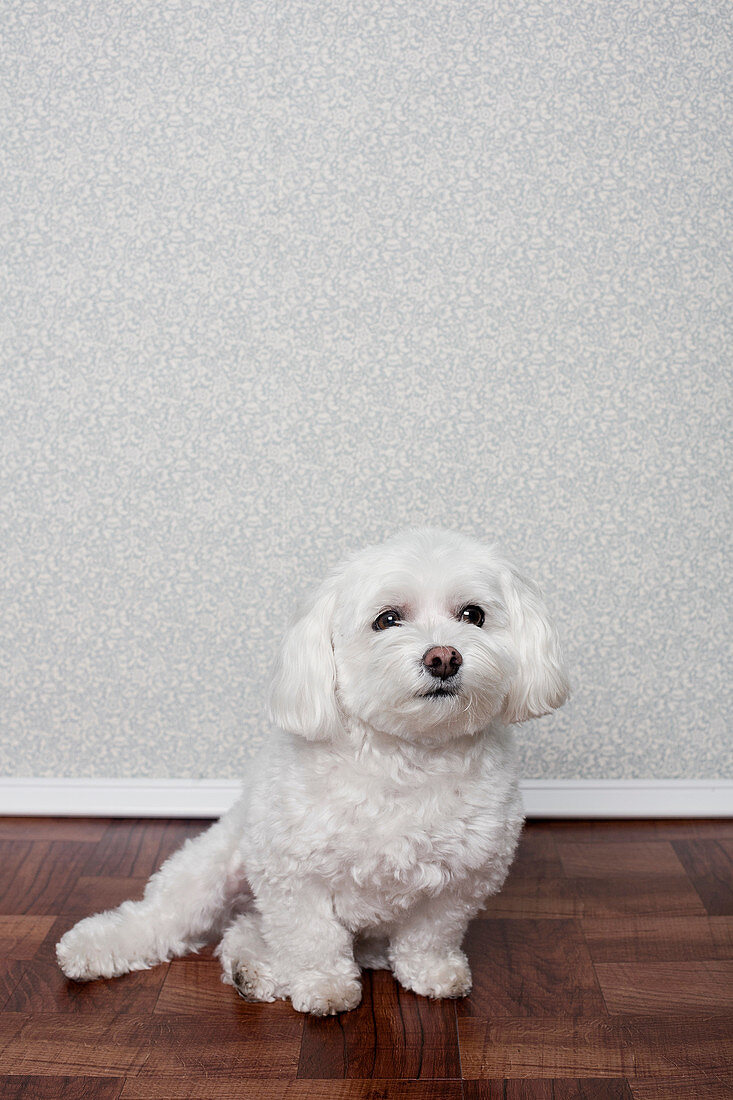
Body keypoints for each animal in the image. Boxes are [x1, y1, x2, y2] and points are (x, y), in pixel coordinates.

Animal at [58, 528, 572, 1016]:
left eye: (473, 615)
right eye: (387, 619)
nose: (444, 657)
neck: (407, 757)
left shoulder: (463, 878)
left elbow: (431, 934)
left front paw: (432, 973)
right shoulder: (291, 874)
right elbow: (312, 938)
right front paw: (324, 986)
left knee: (246, 930)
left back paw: (253, 970)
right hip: (213, 870)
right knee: (165, 917)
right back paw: (95, 948)